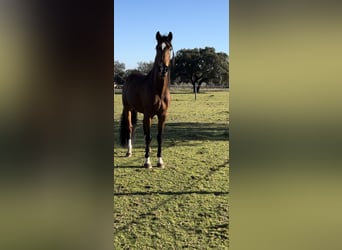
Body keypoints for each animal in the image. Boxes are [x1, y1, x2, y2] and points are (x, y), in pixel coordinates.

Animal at [119, 31, 174, 168]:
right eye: (157, 47)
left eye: (169, 48)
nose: (162, 70)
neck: (158, 90)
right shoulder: (148, 114)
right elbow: (149, 136)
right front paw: (147, 162)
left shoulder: (162, 115)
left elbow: (159, 137)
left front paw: (159, 161)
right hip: (128, 109)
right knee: (130, 128)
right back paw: (129, 152)